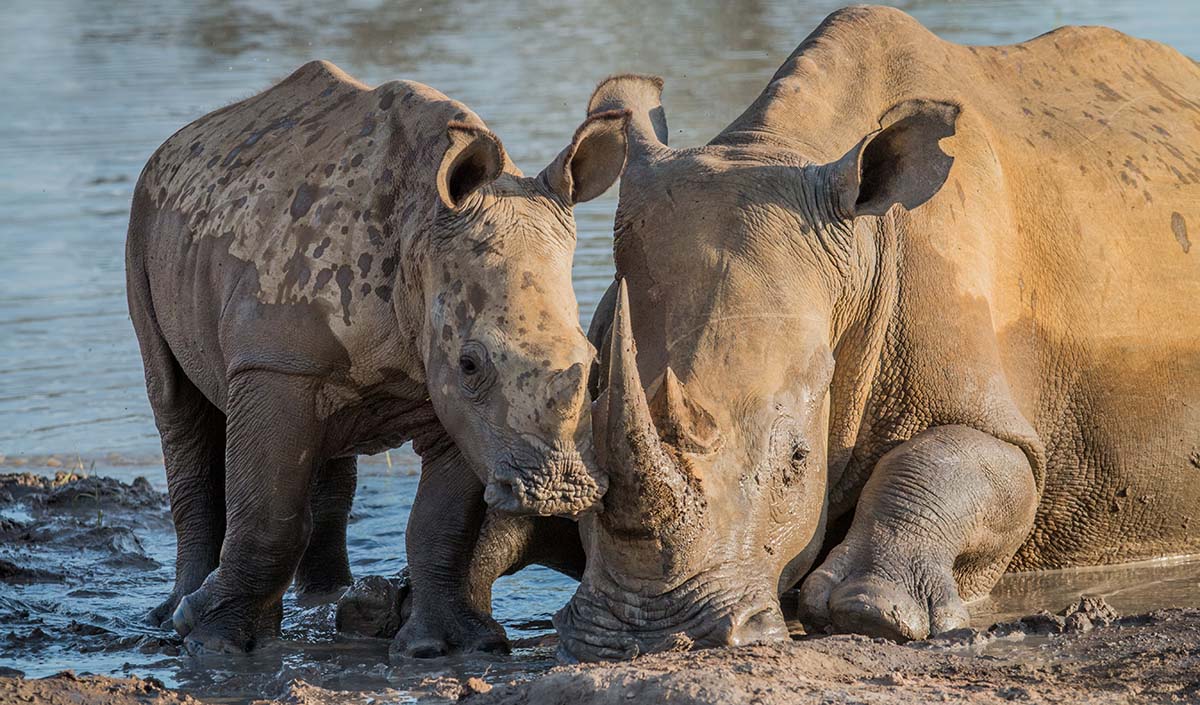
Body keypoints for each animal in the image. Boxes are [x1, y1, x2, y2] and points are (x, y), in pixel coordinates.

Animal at [126, 60, 629, 653]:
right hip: (144, 218)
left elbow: (440, 526)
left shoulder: (454, 401)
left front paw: (446, 645)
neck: (421, 227)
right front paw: (211, 641)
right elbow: (268, 515)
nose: (557, 491)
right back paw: (170, 616)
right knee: (175, 404)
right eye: (471, 364)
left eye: (593, 362)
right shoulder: (275, 364)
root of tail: (181, 138)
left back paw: (325, 600)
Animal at [552, 7, 1200, 660]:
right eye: (587, 432)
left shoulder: (1005, 417)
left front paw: (870, 611)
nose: (645, 634)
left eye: (797, 461)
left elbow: (968, 461)